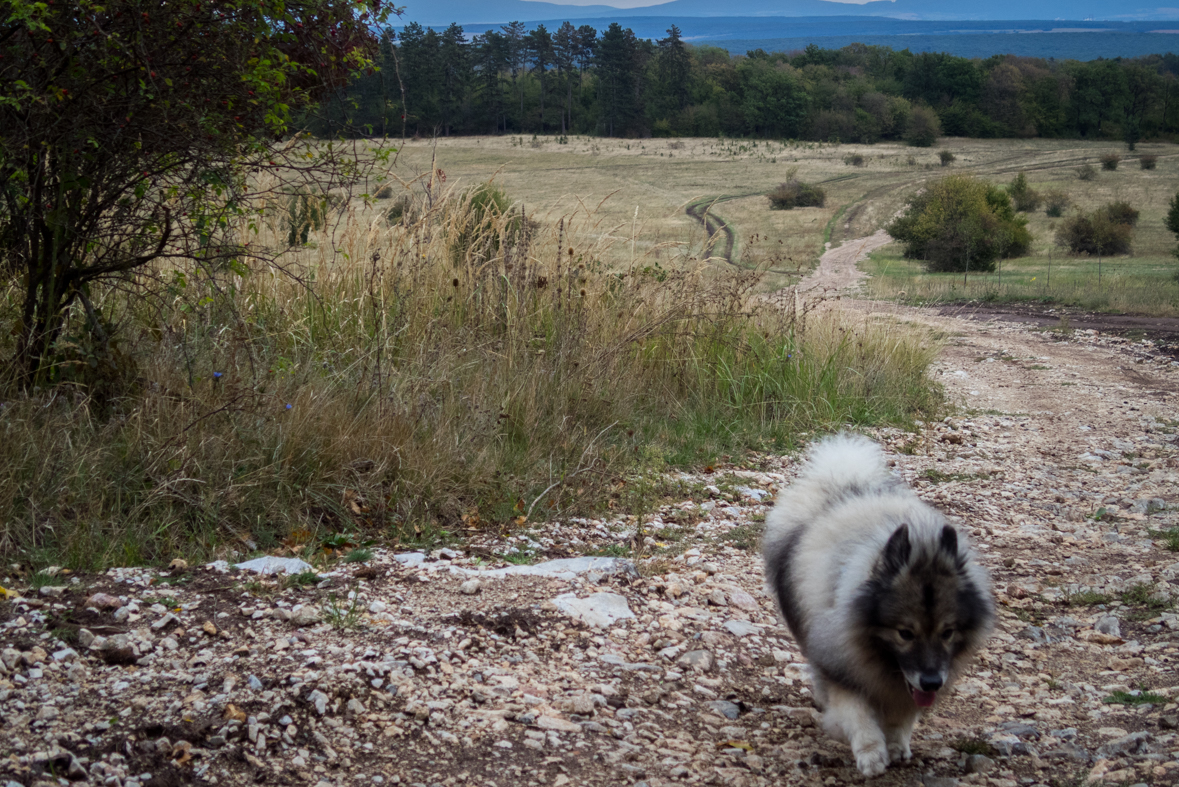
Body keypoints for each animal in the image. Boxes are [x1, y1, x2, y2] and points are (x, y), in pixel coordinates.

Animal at [763, 433, 995, 777]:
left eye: (947, 632)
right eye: (905, 633)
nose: (932, 682)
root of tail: (845, 482)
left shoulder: (909, 687)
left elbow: (903, 715)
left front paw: (896, 745)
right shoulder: (840, 664)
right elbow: (856, 714)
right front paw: (870, 753)